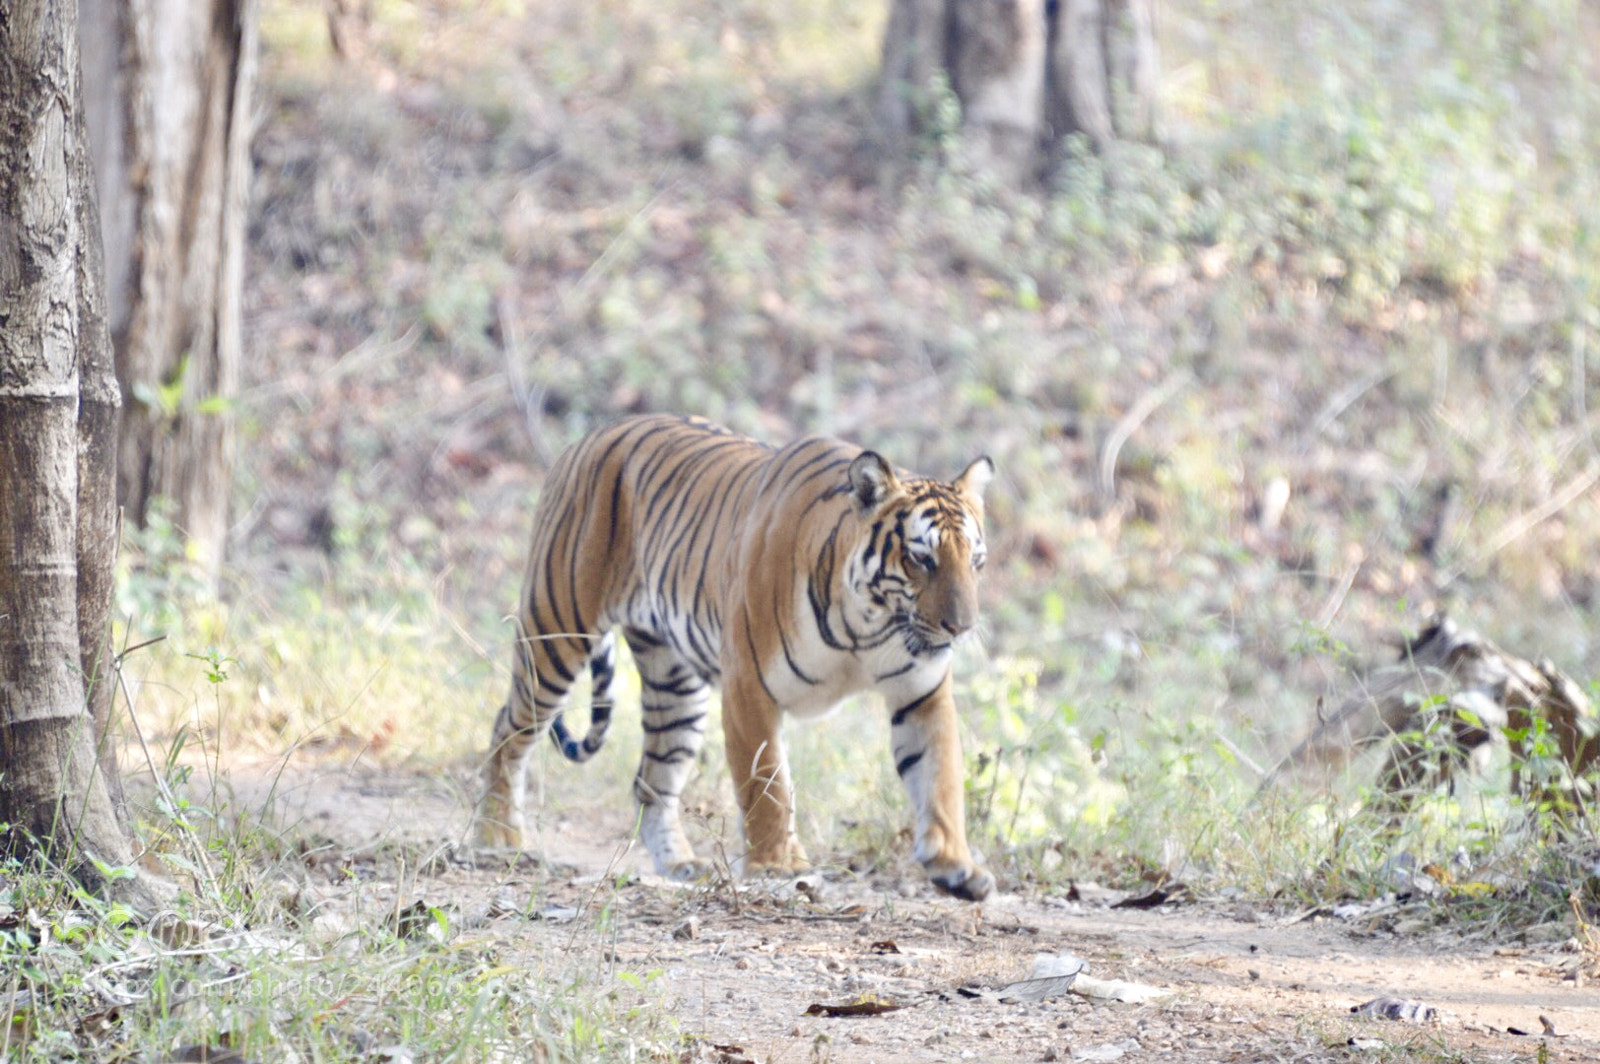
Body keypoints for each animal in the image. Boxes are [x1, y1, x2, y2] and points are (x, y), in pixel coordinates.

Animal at [474, 414, 997, 900]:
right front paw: (777, 866)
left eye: (976, 562)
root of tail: (594, 434)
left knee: (650, 780)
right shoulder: (750, 686)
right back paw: (497, 838)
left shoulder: (921, 695)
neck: (867, 626)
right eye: (921, 558)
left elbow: (940, 778)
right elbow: (766, 783)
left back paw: (681, 863)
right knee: (508, 731)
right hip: (556, 630)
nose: (962, 627)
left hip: (675, 687)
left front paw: (956, 865)